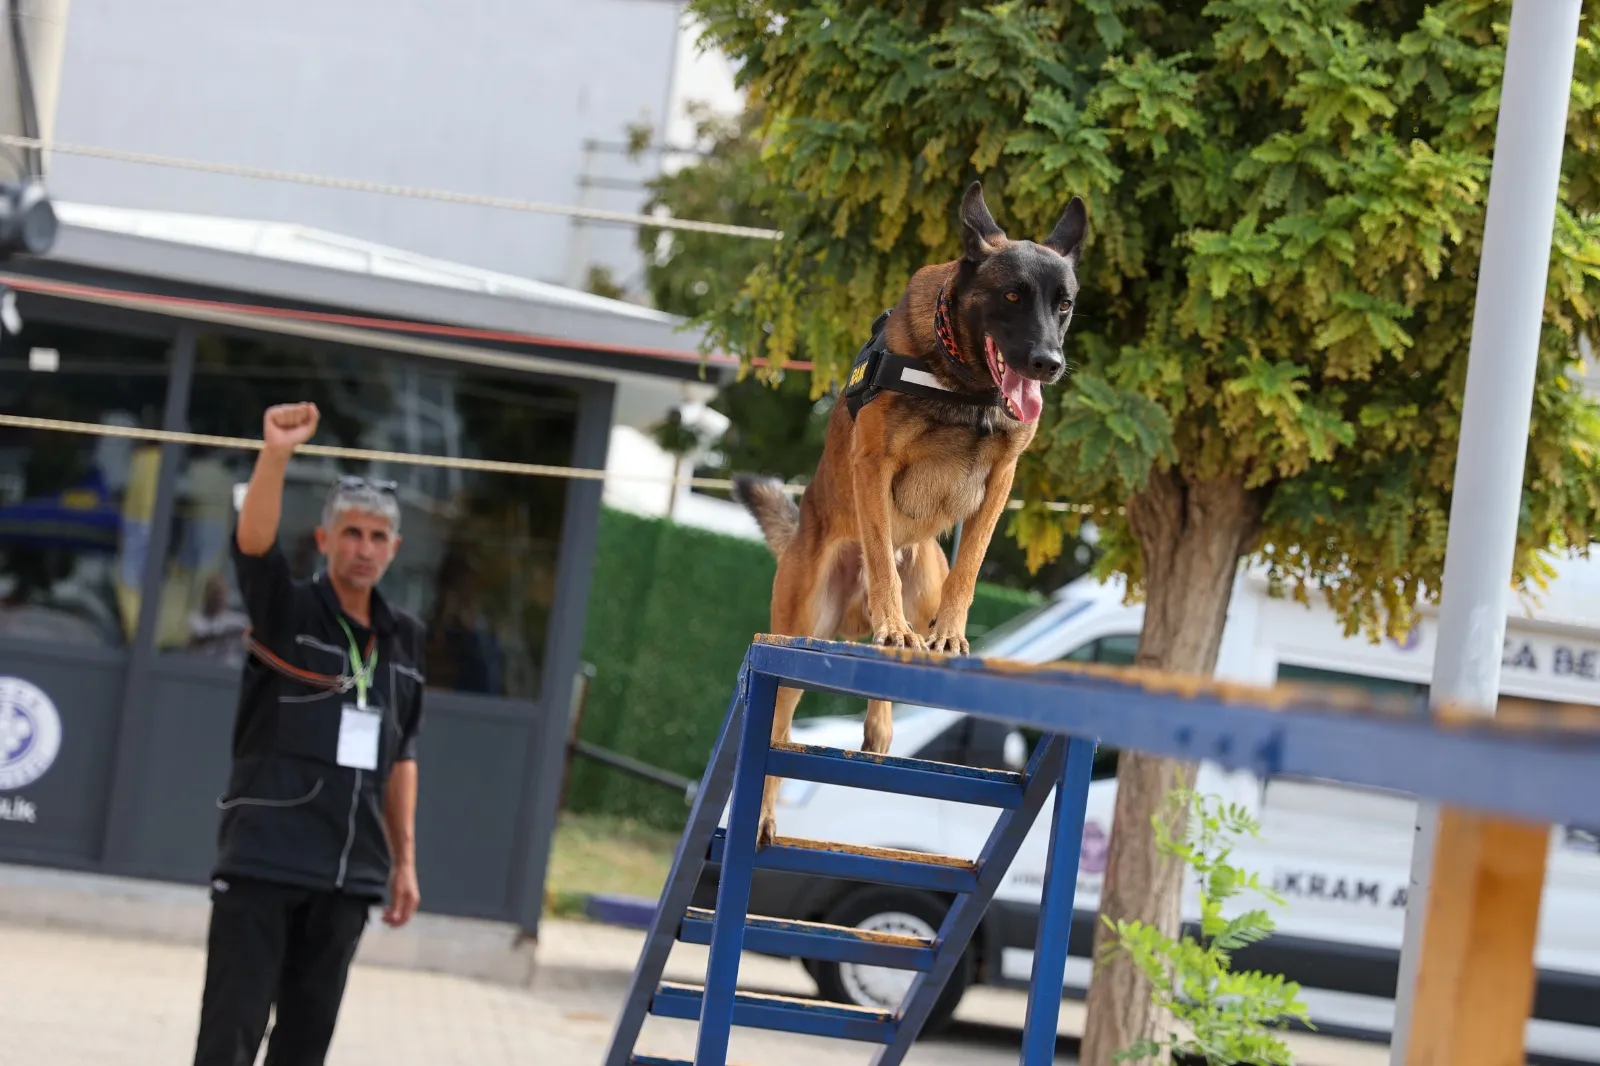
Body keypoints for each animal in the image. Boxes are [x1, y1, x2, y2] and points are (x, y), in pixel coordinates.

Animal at [729, 178, 1088, 845]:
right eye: (1012, 295)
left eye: (1065, 305)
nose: (1048, 364)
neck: (966, 383)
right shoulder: (874, 465)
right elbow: (877, 552)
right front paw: (889, 622)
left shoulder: (1001, 481)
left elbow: (969, 568)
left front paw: (949, 635)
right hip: (799, 634)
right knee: (778, 734)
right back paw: (763, 815)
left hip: (923, 576)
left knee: (886, 673)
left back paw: (883, 720)